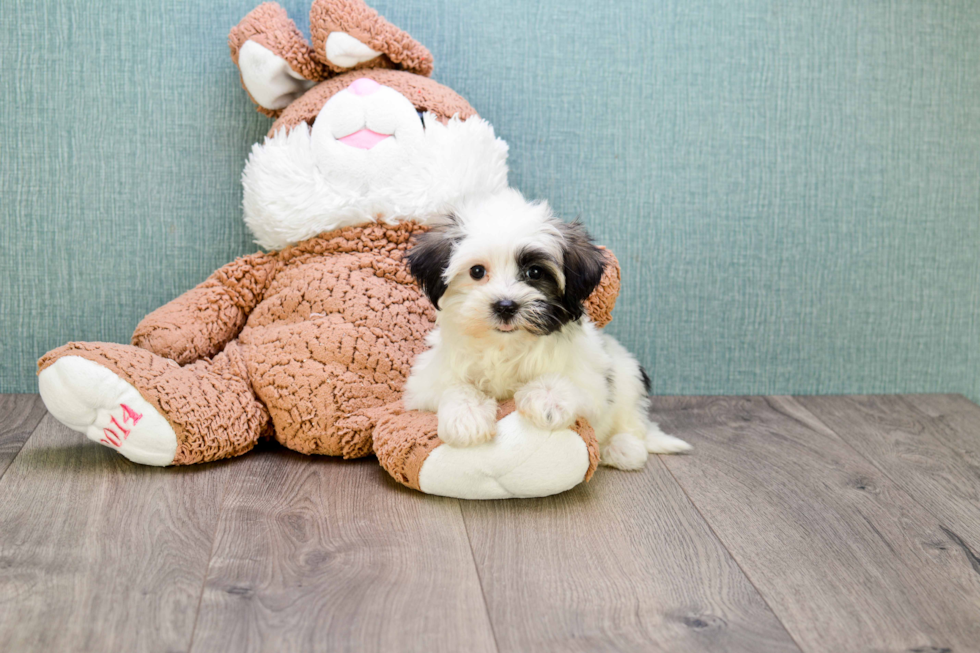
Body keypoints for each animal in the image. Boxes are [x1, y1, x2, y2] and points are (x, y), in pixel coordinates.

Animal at [404, 188, 688, 468]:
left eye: (535, 272)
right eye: (476, 271)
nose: (505, 306)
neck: (504, 345)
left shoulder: (593, 382)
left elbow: (572, 384)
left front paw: (547, 400)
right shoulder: (424, 384)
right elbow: (453, 386)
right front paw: (466, 416)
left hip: (628, 374)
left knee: (632, 421)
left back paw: (622, 447)